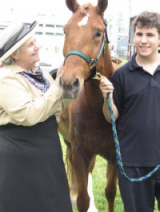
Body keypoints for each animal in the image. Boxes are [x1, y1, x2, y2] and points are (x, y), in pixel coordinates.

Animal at [57, 0, 117, 212]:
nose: (68, 83)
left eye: (98, 32)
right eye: (65, 30)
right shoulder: (79, 152)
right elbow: (82, 199)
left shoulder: (114, 157)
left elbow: (110, 192)